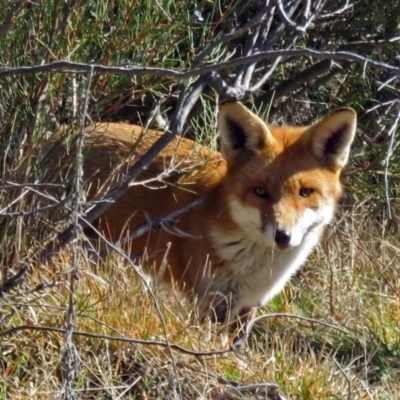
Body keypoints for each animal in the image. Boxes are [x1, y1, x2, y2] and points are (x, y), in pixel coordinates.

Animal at [53, 102, 356, 338]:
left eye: (305, 192)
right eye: (260, 191)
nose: (283, 236)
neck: (256, 265)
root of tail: (61, 134)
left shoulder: (247, 305)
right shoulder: (209, 301)